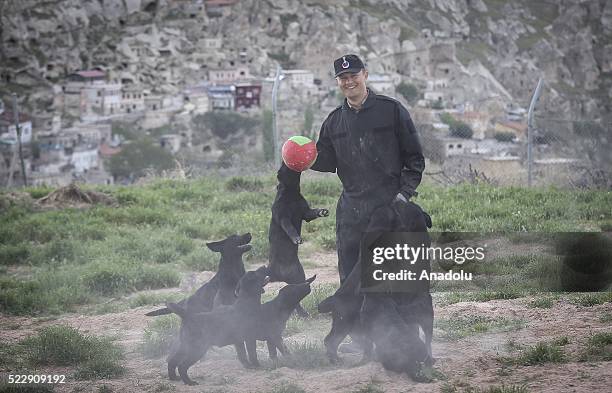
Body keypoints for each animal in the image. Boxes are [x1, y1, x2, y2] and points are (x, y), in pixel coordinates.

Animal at [266, 162, 328, 316]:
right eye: (283, 167)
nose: (283, 161)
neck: (291, 193)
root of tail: (279, 276)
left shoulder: (305, 212)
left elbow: (313, 212)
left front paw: (322, 211)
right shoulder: (283, 216)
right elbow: (289, 228)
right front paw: (296, 239)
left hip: (299, 275)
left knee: (297, 293)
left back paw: (302, 313)